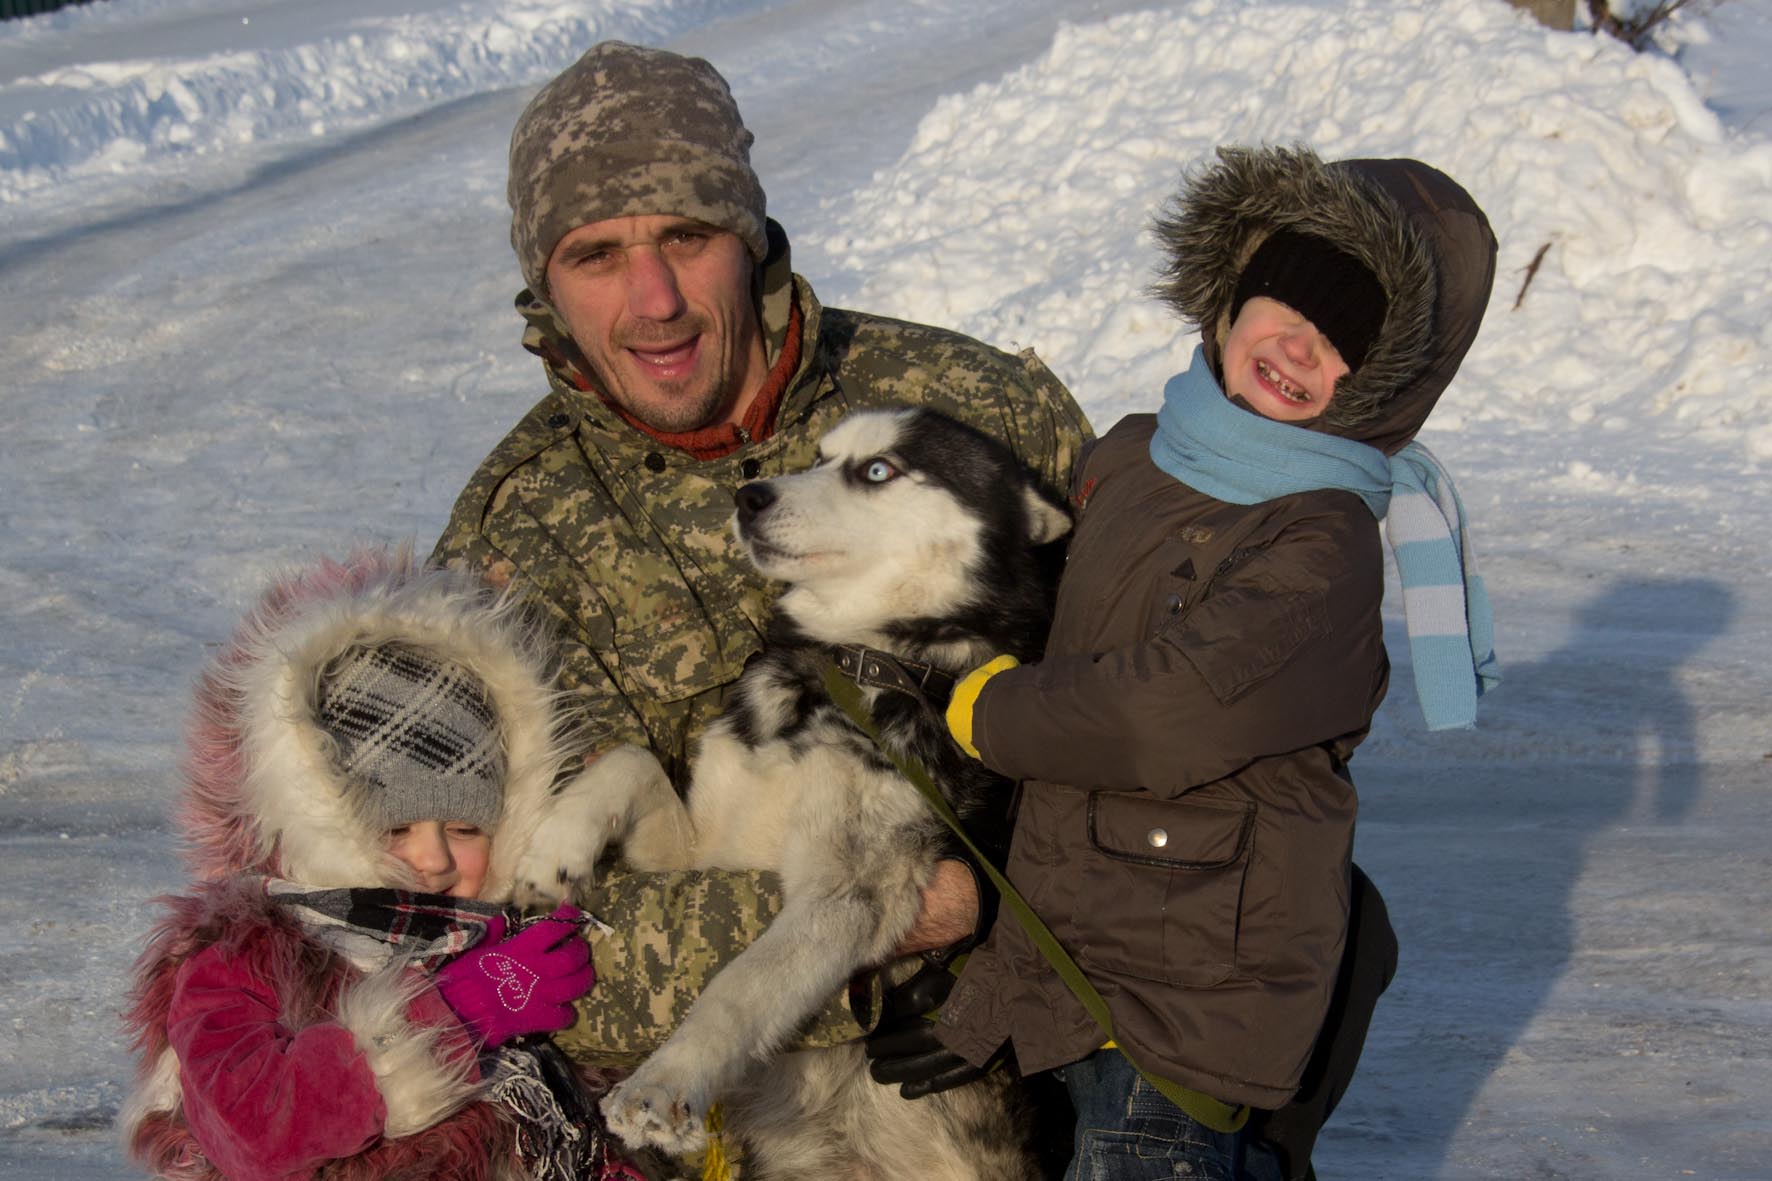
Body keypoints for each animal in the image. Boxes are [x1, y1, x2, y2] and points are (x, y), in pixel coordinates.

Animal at [517, 406, 1071, 1177]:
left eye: (878, 470)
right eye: (818, 457)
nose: (749, 495)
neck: (850, 664)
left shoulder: (849, 890)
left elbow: (737, 986)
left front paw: (664, 1084)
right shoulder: (700, 847)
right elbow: (631, 759)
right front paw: (556, 846)